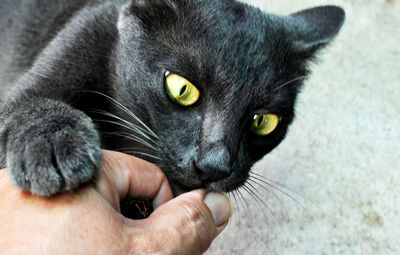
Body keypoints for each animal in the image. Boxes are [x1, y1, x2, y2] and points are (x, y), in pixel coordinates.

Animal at [0, 0, 344, 196]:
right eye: (181, 88)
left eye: (263, 121)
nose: (215, 166)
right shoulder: (83, 35)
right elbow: (27, 103)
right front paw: (53, 143)